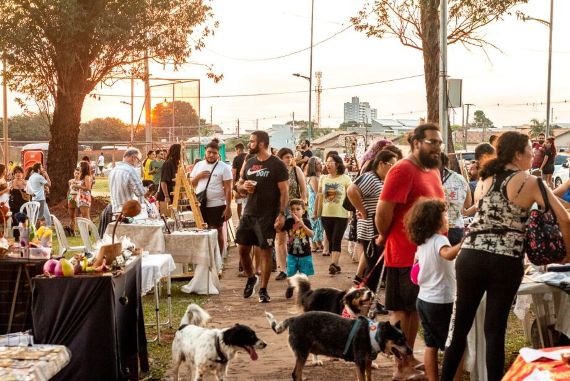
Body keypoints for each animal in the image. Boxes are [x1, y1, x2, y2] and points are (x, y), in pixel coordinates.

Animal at [264, 310, 410, 380]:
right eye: (399, 341)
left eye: (405, 339)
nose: (410, 351)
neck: (373, 335)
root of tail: (293, 319)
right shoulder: (360, 363)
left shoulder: (367, 362)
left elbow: (369, 378)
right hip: (302, 353)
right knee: (295, 374)